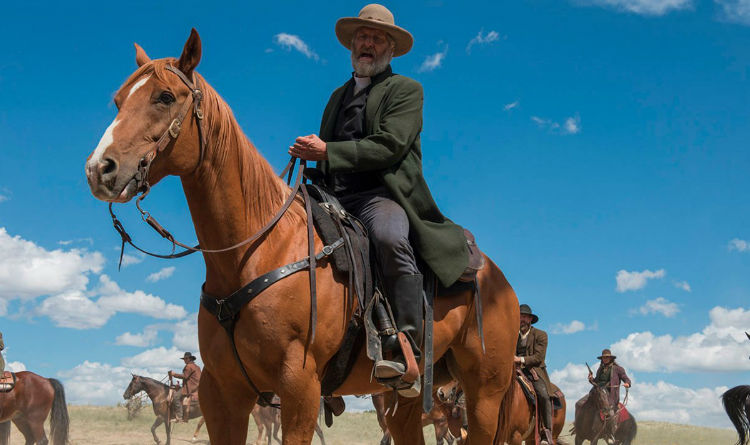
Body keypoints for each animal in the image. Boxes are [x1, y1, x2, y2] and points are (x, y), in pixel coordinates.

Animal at [85, 29, 524, 442]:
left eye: (164, 96)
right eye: (118, 101)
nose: (99, 169)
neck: (255, 251)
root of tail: (495, 276)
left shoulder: (299, 386)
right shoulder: (222, 393)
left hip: (484, 394)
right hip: (406, 399)